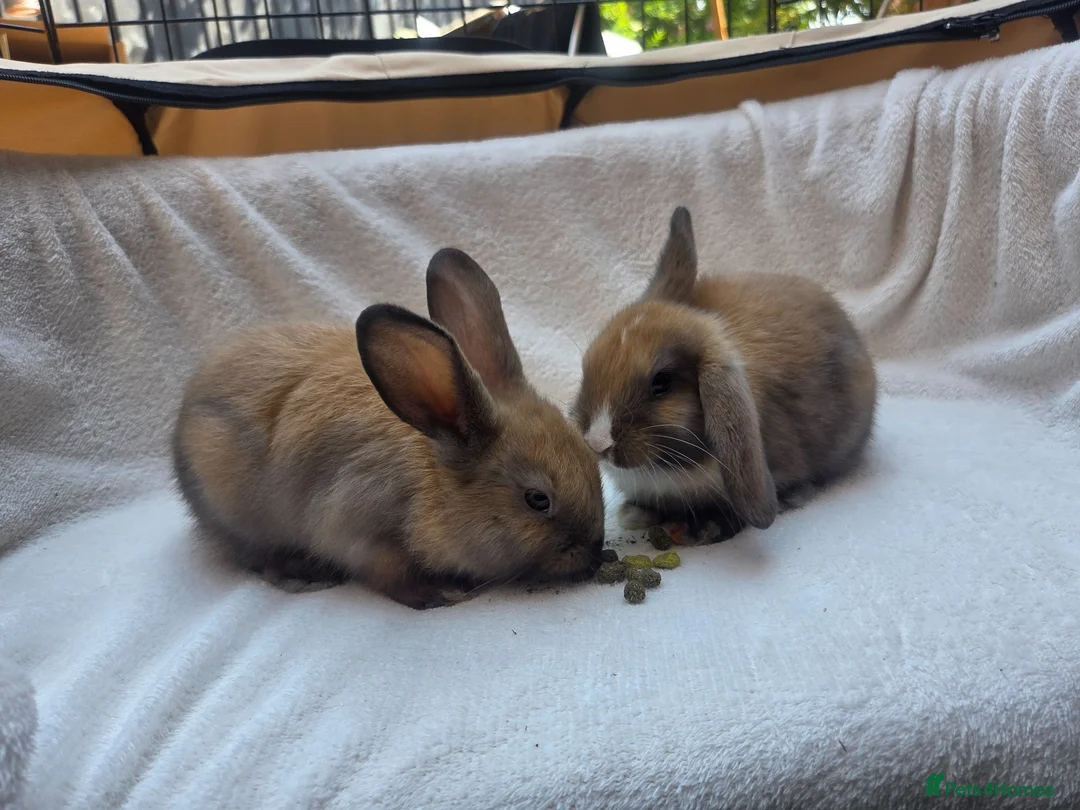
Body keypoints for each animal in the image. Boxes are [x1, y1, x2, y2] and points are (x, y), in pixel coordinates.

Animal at [173, 248, 606, 610]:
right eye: (537, 499)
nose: (594, 552)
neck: (434, 478)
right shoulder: (362, 531)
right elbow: (390, 576)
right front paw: (441, 592)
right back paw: (302, 574)